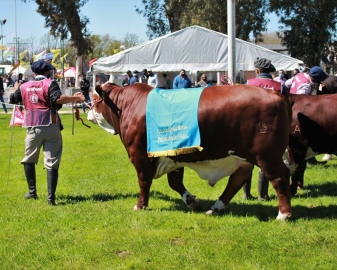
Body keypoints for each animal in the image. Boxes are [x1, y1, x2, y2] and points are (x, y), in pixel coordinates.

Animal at [86, 82, 292, 219]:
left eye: (94, 98)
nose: (88, 113)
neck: (127, 106)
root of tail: (274, 93)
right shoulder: (173, 155)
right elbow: (175, 182)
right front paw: (193, 203)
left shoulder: (139, 155)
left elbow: (144, 181)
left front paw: (140, 205)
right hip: (244, 156)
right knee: (238, 179)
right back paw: (215, 208)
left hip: (267, 155)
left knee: (279, 177)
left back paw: (283, 214)